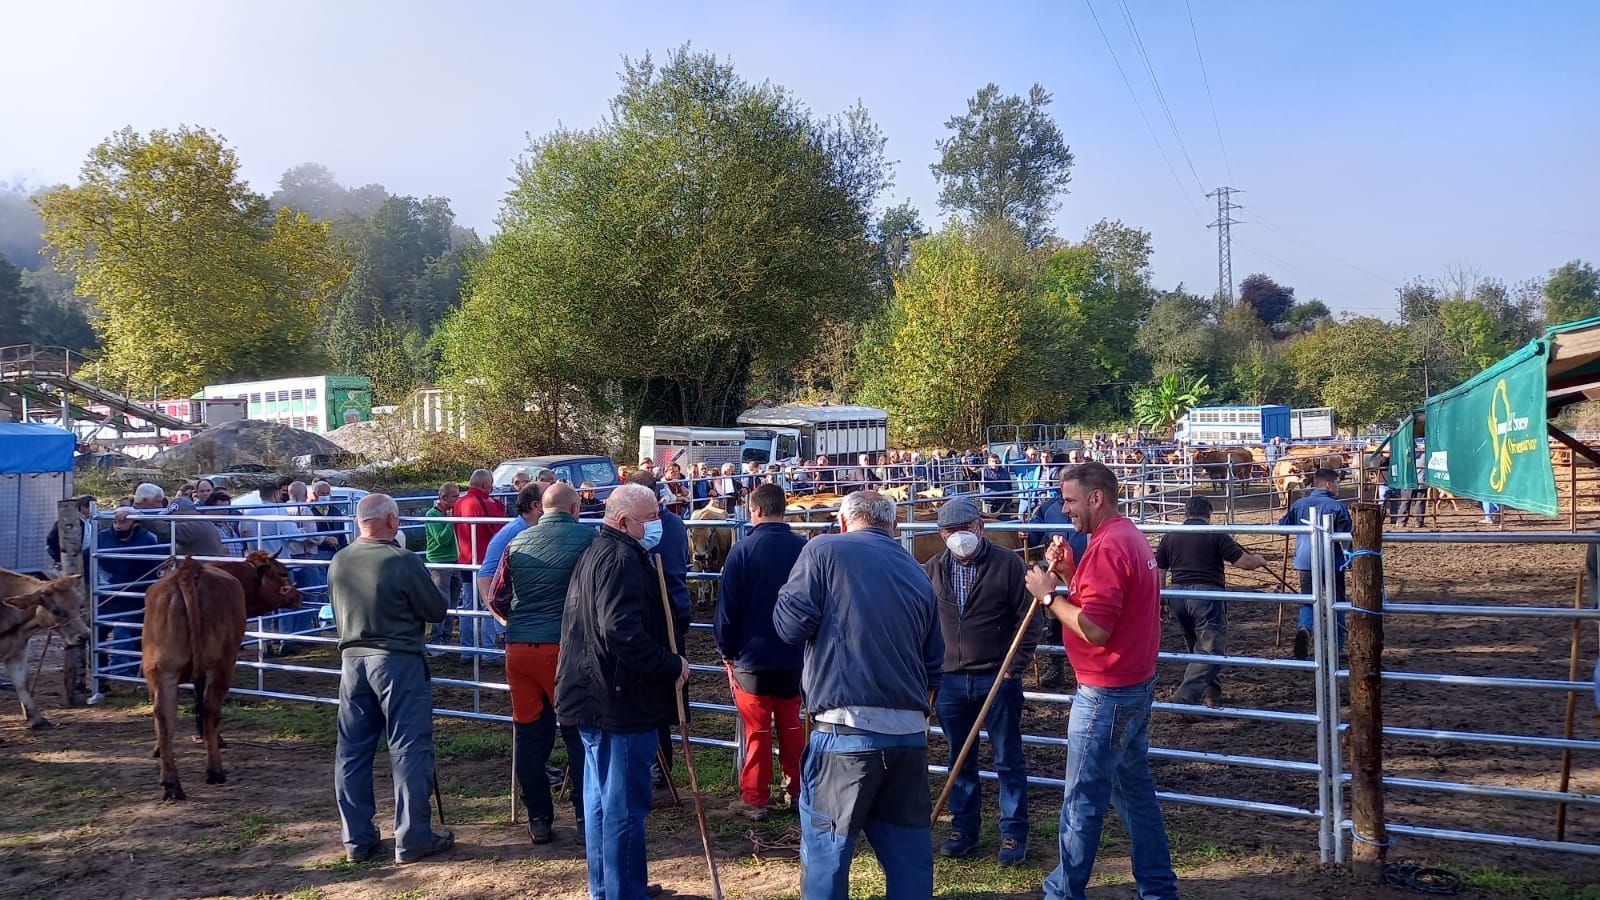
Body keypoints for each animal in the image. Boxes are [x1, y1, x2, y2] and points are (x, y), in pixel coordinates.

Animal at [0, 566, 90, 730]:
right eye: (56, 611)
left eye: (80, 605)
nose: (85, 635)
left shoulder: (17, 651)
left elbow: (22, 684)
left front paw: (37, 720)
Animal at [143, 554, 246, 797]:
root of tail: (189, 568)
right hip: (222, 665)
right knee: (210, 712)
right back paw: (215, 771)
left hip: (162, 669)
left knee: (164, 716)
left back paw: (171, 785)